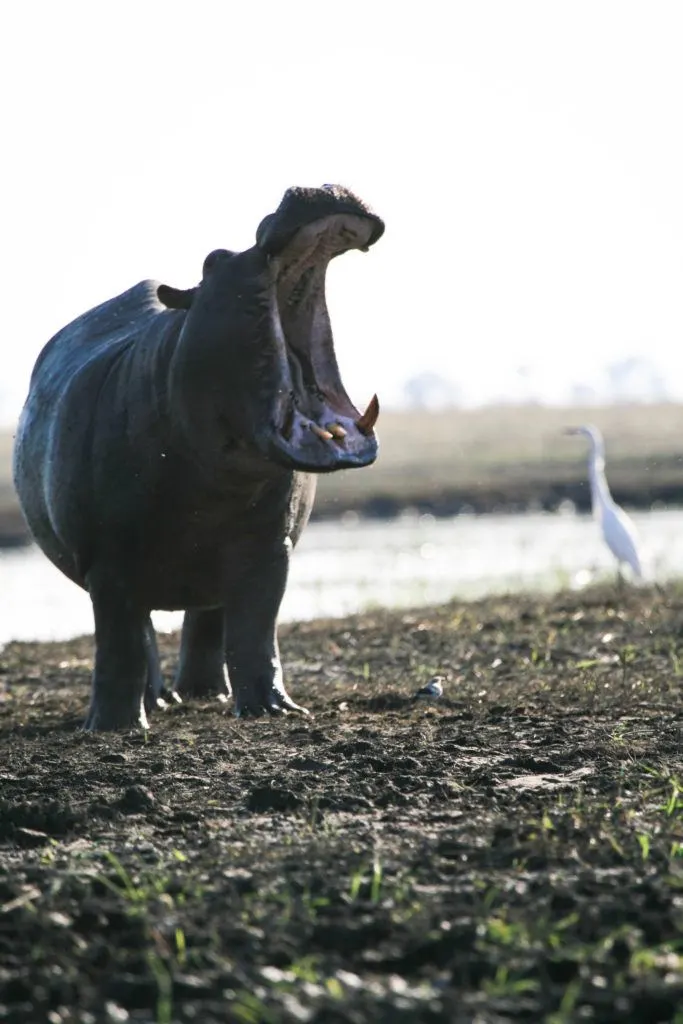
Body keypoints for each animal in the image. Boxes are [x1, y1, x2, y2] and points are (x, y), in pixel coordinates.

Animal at [13, 184, 384, 731]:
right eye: (213, 260)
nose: (315, 188)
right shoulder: (107, 559)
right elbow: (120, 643)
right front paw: (115, 727)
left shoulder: (269, 547)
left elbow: (256, 628)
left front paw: (274, 709)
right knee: (141, 631)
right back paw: (154, 704)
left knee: (209, 620)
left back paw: (205, 694)